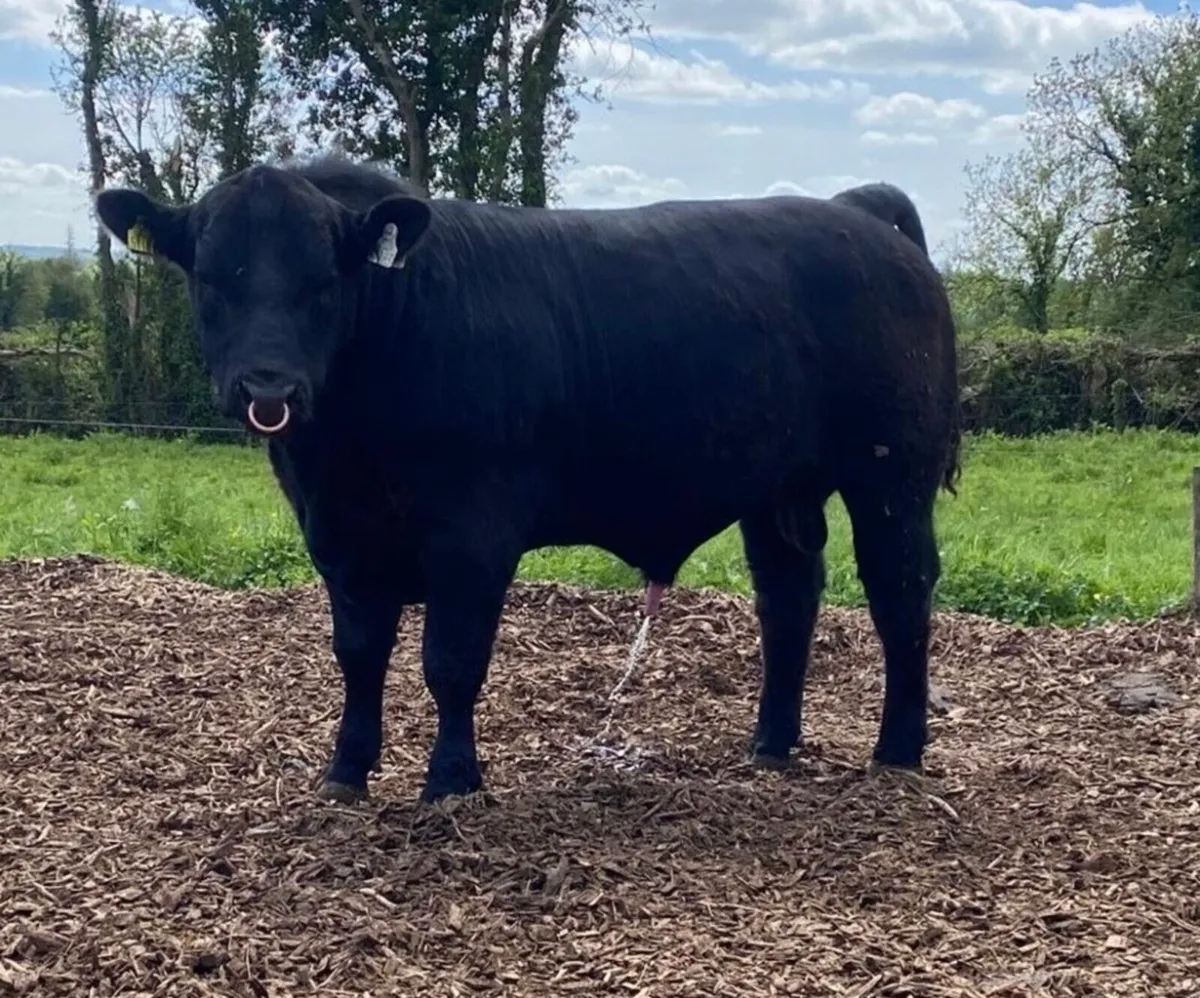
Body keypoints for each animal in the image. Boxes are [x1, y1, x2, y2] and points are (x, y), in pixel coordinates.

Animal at [94, 154, 961, 805]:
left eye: (324, 281)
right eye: (212, 278)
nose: (268, 388)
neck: (348, 447)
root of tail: (853, 210)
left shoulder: (472, 535)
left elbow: (450, 660)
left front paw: (450, 782)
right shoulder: (337, 534)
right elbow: (360, 654)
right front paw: (345, 772)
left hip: (893, 475)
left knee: (899, 592)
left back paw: (897, 752)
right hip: (777, 487)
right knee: (788, 599)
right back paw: (772, 744)